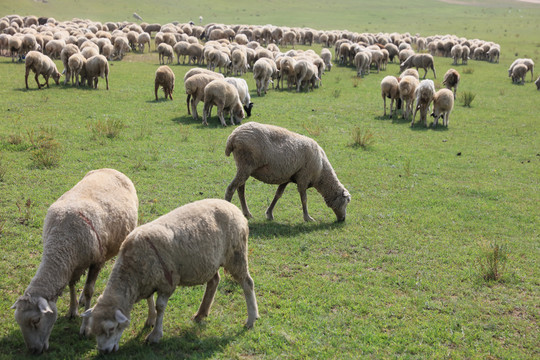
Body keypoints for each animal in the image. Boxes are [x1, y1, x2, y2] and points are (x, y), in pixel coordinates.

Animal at [11, 169, 139, 354]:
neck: (61, 241)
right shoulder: (72, 264)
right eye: (19, 322)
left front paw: (85, 328)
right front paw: (73, 309)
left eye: (36, 321)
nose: (33, 351)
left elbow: (89, 290)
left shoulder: (96, 261)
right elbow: (72, 285)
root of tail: (111, 169)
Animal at [83, 197, 260, 352]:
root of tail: (234, 208)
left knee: (247, 283)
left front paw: (155, 335)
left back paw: (251, 319)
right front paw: (150, 319)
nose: (104, 351)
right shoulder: (148, 280)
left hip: (236, 254)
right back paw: (201, 313)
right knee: (214, 281)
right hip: (210, 261)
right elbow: (149, 300)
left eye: (112, 328)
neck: (132, 270)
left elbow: (160, 306)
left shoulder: (167, 282)